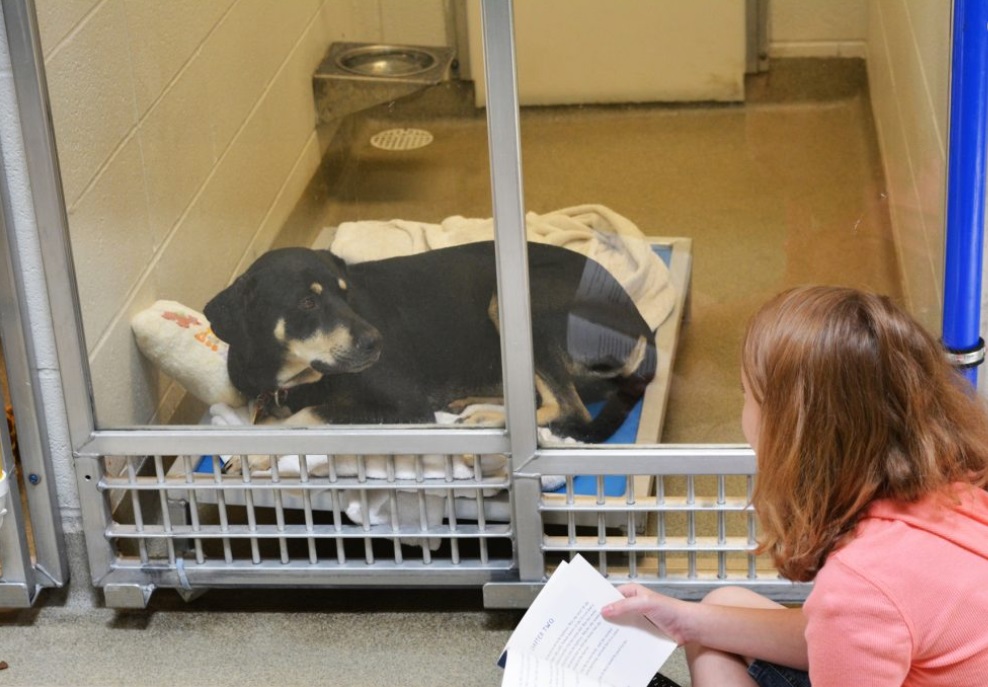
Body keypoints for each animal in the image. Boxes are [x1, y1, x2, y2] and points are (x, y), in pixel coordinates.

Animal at [203, 239, 656, 448]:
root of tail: (643, 328)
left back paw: (486, 419)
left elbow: (309, 415)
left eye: (346, 295)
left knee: (568, 408)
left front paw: (257, 452)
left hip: (521, 302)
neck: (294, 378)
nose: (376, 343)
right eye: (308, 302)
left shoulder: (406, 407)